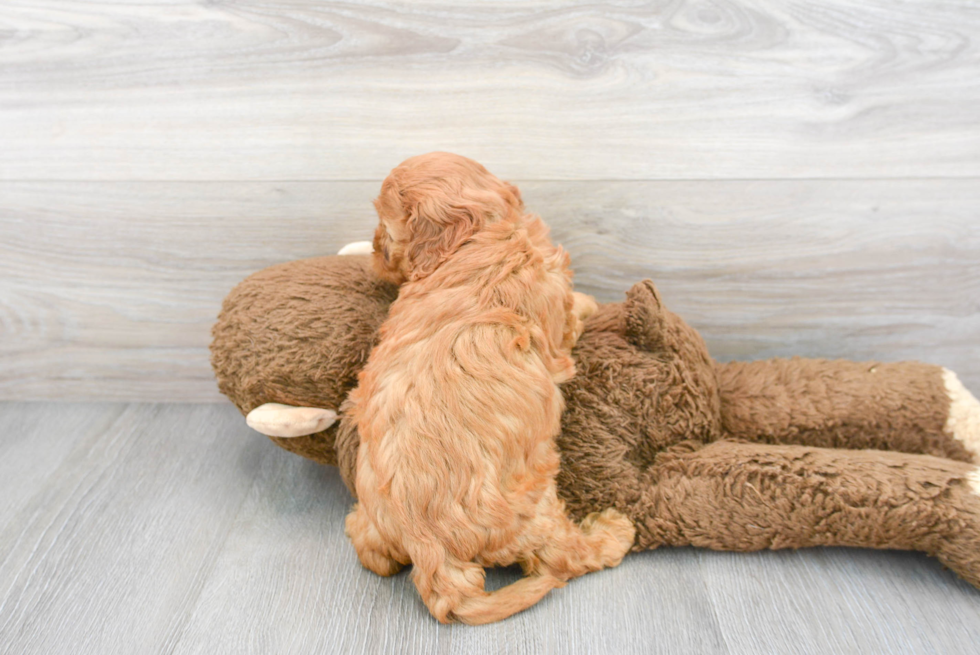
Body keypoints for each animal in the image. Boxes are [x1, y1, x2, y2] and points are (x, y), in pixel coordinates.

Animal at [344, 152, 636, 624]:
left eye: (385, 227)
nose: (372, 249)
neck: (480, 238)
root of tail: (429, 550)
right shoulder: (556, 310)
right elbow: (573, 311)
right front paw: (592, 303)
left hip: (375, 521)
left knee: (373, 553)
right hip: (536, 513)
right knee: (565, 558)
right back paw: (614, 532)